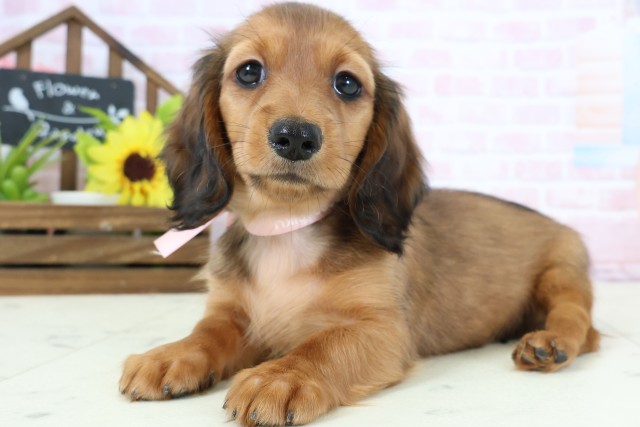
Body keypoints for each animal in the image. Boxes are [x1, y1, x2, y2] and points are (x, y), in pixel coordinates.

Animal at [119, 3, 600, 426]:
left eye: (347, 84)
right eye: (249, 71)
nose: (296, 137)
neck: (287, 227)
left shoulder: (382, 329)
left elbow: (323, 345)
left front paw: (280, 377)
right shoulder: (231, 312)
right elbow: (207, 334)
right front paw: (170, 354)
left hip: (562, 273)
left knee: (578, 320)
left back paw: (549, 342)